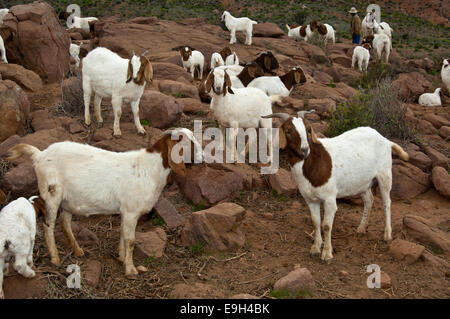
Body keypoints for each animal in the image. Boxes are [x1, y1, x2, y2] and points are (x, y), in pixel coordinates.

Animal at [7, 129, 201, 278]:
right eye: (186, 144)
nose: (202, 157)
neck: (150, 168)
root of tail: (39, 155)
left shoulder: (125, 211)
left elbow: (122, 234)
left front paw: (121, 257)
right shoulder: (131, 211)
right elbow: (131, 240)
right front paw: (130, 269)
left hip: (68, 200)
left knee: (65, 222)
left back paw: (77, 250)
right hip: (51, 193)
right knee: (48, 225)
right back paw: (55, 258)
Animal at [262, 114, 410, 264]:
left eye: (308, 130)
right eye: (288, 131)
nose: (304, 149)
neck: (312, 163)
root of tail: (386, 140)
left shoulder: (329, 198)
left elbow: (326, 226)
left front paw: (327, 253)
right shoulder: (310, 199)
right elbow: (315, 222)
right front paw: (315, 247)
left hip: (384, 174)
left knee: (387, 203)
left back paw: (387, 235)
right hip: (363, 182)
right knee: (369, 200)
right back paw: (362, 228)